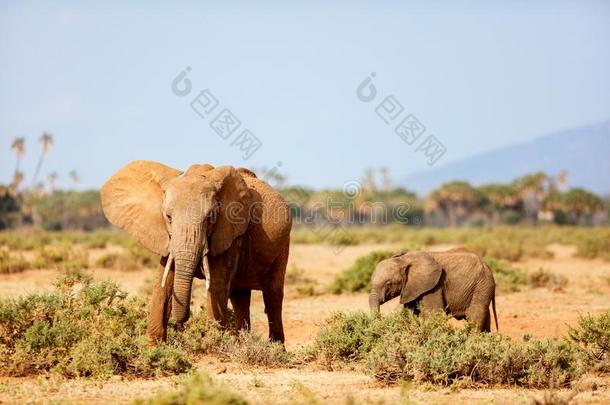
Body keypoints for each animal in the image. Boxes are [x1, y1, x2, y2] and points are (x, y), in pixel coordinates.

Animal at [101, 161, 290, 344]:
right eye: (168, 217)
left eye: (210, 218)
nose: (181, 322)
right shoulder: (169, 240)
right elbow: (163, 282)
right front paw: (153, 349)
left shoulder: (229, 233)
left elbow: (217, 286)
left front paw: (213, 345)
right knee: (240, 296)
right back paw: (243, 342)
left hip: (283, 244)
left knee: (272, 296)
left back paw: (275, 347)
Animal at [368, 248, 496, 330]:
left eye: (389, 283)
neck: (404, 260)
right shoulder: (412, 287)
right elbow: (411, 313)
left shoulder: (435, 285)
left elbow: (433, 313)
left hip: (481, 286)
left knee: (475, 319)